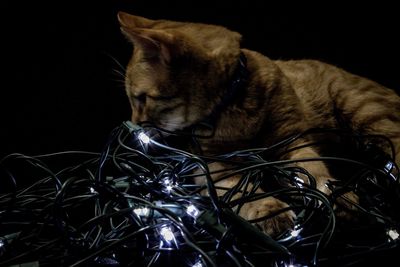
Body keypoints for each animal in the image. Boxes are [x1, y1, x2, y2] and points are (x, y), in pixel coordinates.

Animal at [115, 11, 400, 236]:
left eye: (141, 99)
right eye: (134, 99)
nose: (134, 127)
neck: (237, 108)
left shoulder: (294, 141)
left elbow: (313, 172)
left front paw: (334, 196)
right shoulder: (215, 163)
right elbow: (241, 189)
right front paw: (269, 210)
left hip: (364, 111)